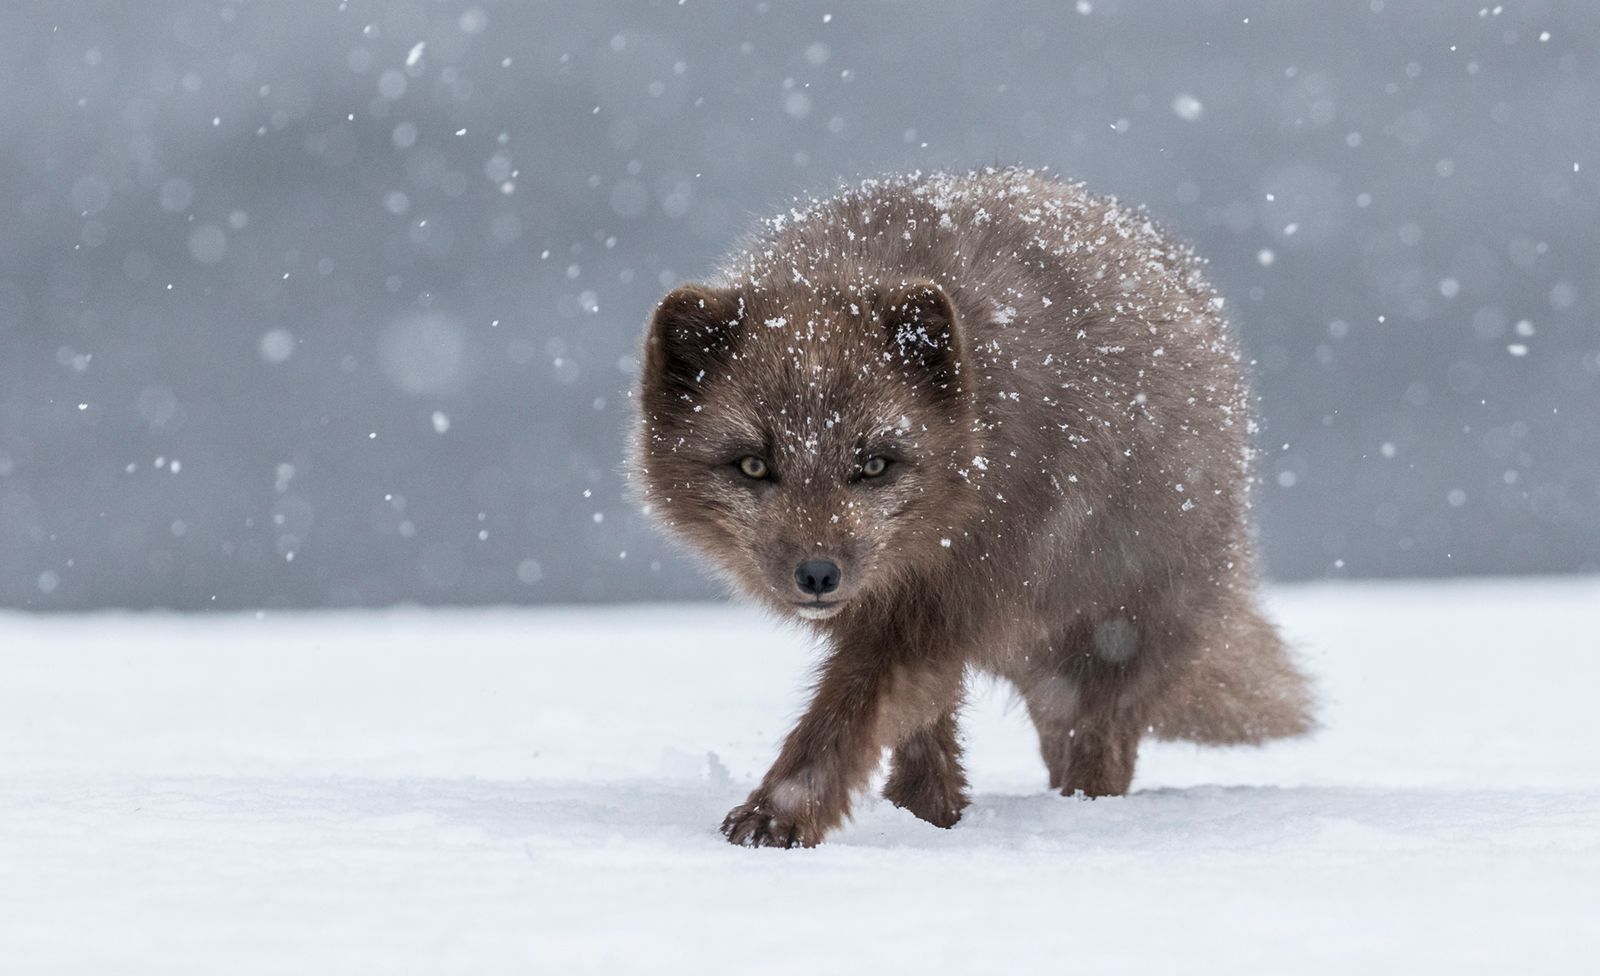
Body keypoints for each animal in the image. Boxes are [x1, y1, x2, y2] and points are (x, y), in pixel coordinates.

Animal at [624, 167, 1312, 844]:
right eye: (753, 465)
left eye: (873, 464)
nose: (818, 575)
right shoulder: (913, 614)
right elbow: (916, 720)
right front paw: (929, 818)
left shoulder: (939, 603)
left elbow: (848, 717)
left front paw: (779, 814)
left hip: (1118, 625)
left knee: (1100, 740)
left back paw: (1085, 813)